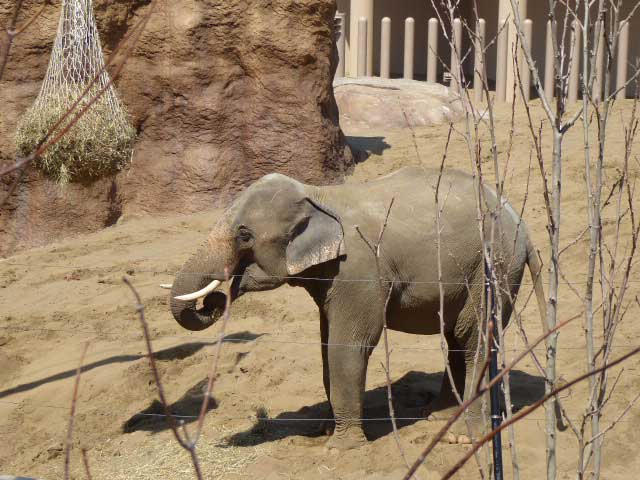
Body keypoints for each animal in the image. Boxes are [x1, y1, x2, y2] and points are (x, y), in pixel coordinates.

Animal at [168, 166, 544, 450]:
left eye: (244, 235)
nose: (214, 299)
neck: (319, 195)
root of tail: (524, 226)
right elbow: (325, 346)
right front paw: (325, 431)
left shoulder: (359, 270)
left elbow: (348, 345)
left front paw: (340, 447)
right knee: (456, 338)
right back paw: (438, 415)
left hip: (493, 268)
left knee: (473, 337)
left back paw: (463, 437)